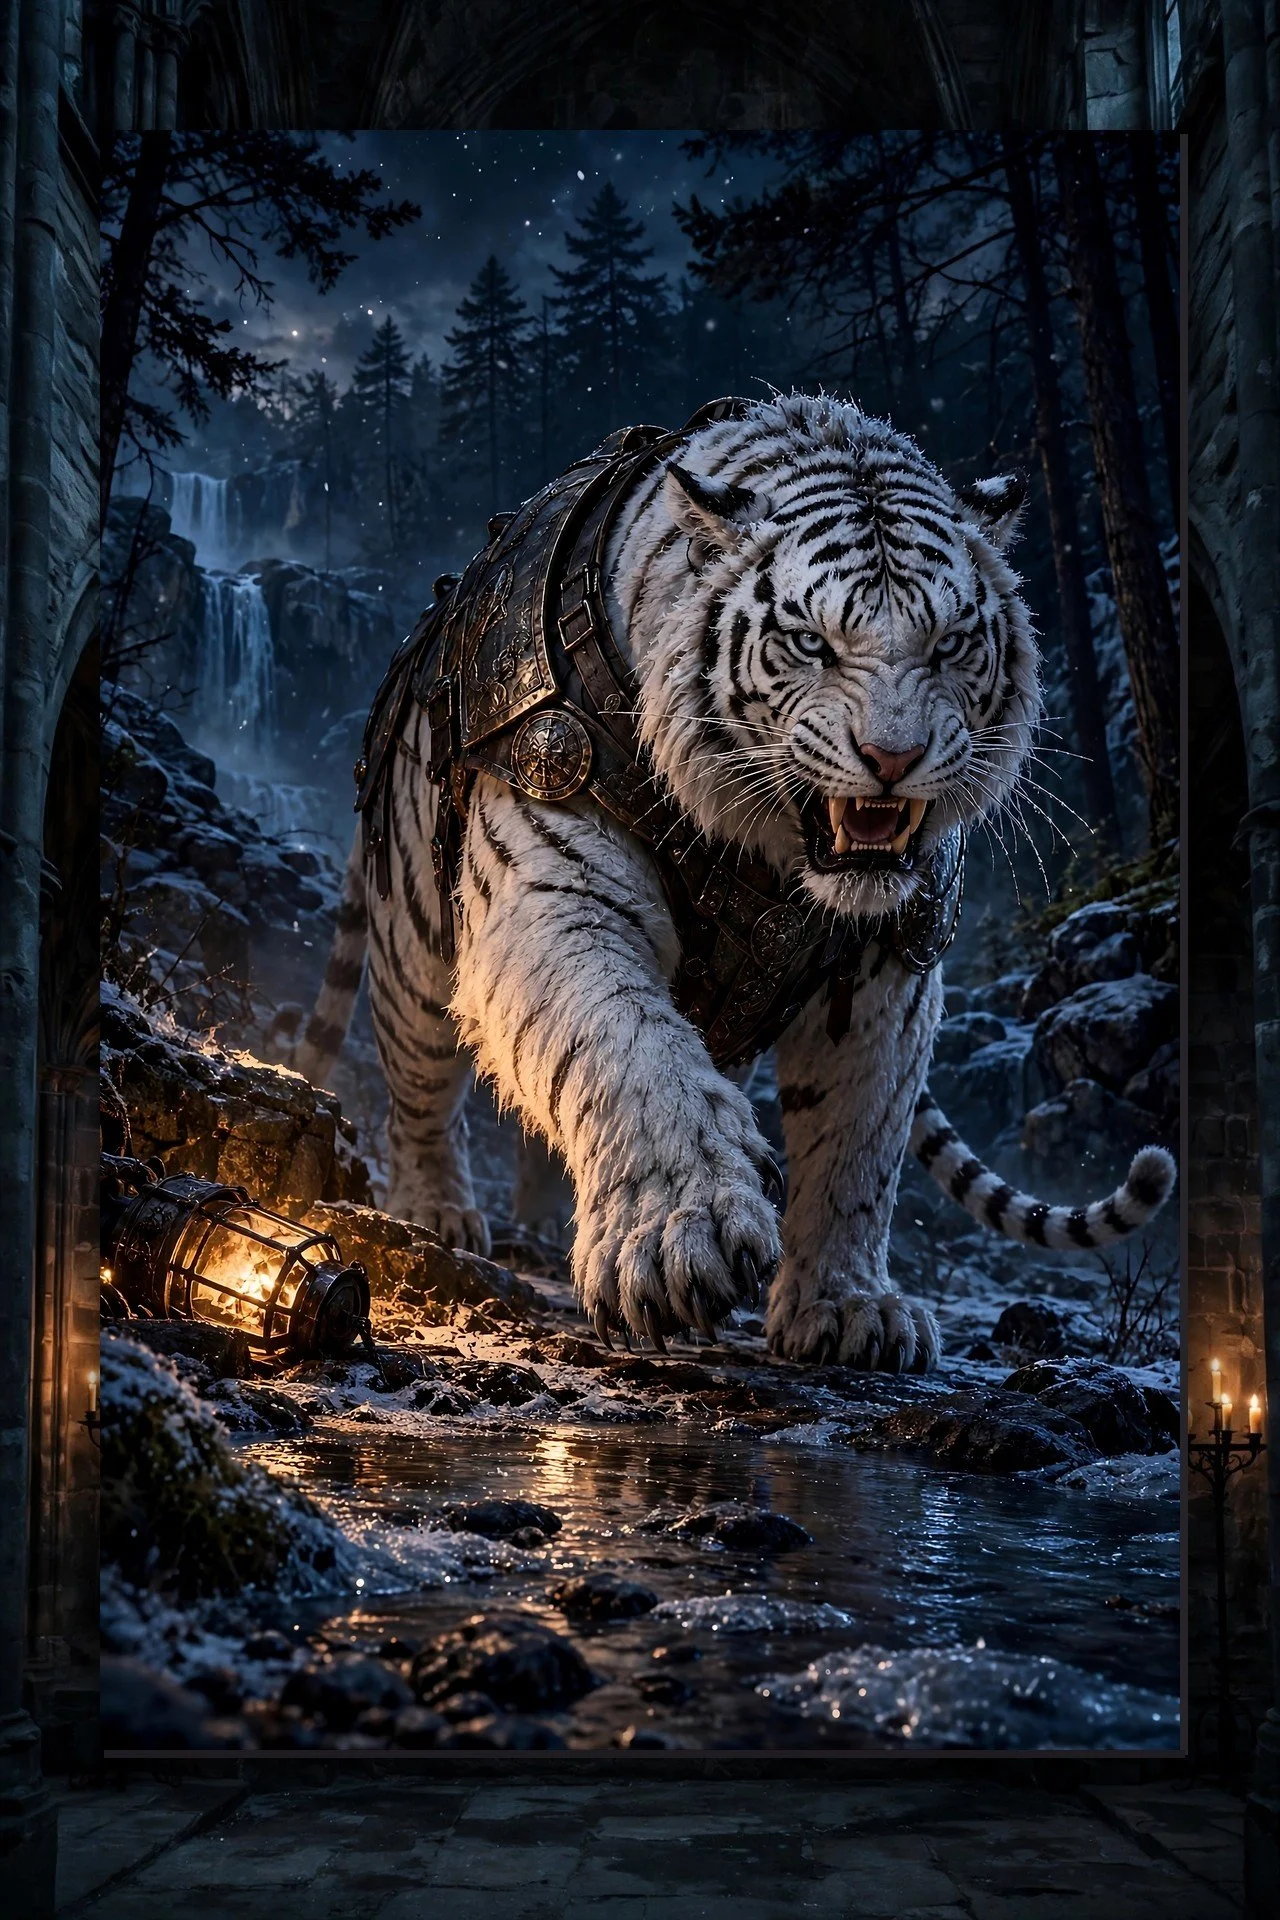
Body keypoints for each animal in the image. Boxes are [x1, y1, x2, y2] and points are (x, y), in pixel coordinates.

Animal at [298, 392, 1175, 1369]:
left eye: (949, 645)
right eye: (811, 643)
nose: (894, 758)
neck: (774, 851)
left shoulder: (889, 970)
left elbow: (858, 1141)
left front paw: (847, 1307)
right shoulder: (558, 892)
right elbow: (629, 1054)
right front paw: (679, 1240)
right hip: (414, 932)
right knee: (419, 1079)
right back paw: (434, 1213)